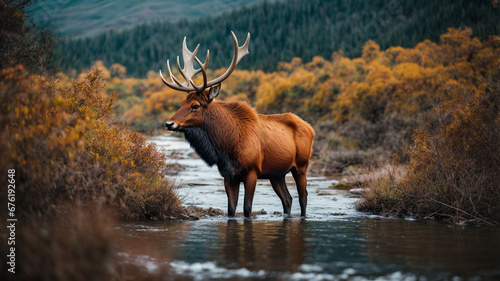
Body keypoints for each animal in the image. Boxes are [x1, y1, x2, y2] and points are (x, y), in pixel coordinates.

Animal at [160, 32, 314, 217]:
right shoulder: (228, 175)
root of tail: (311, 128)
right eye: (181, 103)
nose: (169, 123)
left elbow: (247, 209)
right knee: (288, 199)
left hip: (301, 165)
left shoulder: (252, 171)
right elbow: (231, 210)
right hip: (277, 174)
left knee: (303, 197)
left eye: (195, 105)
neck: (227, 146)